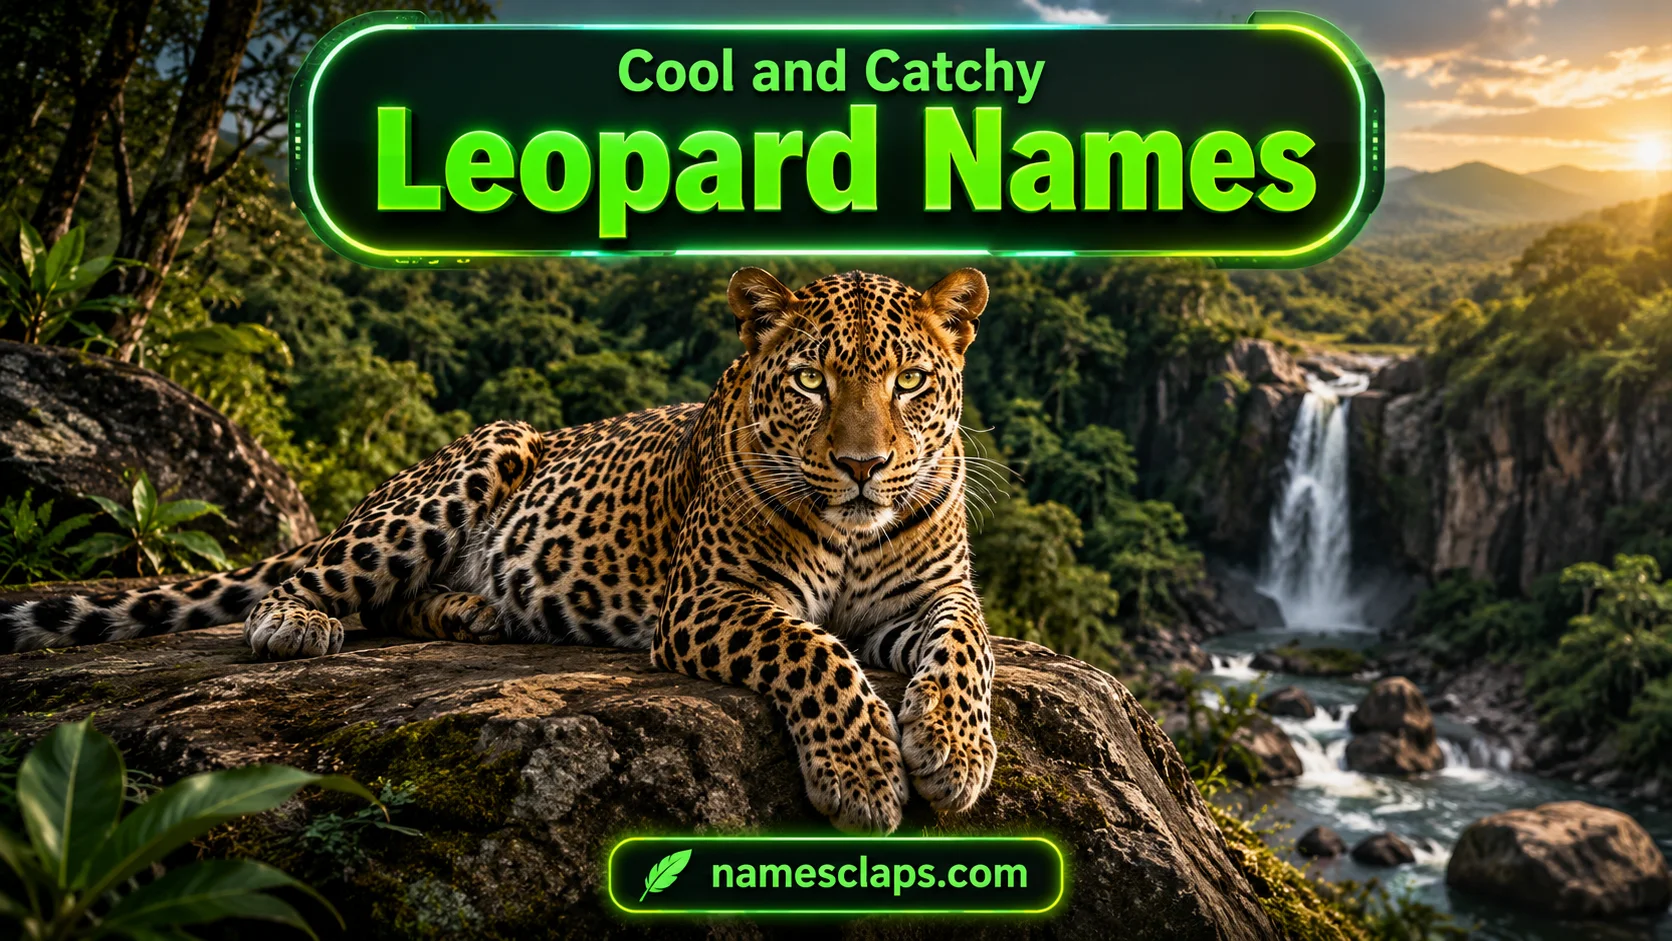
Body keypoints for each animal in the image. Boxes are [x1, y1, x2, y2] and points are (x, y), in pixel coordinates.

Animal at [0, 267, 999, 834]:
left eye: (911, 381)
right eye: (809, 381)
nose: (865, 466)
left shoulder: (935, 595)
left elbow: (967, 647)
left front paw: (952, 750)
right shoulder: (711, 599)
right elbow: (814, 650)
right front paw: (863, 773)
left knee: (398, 598)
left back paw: (474, 607)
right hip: (476, 461)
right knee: (309, 577)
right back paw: (297, 621)